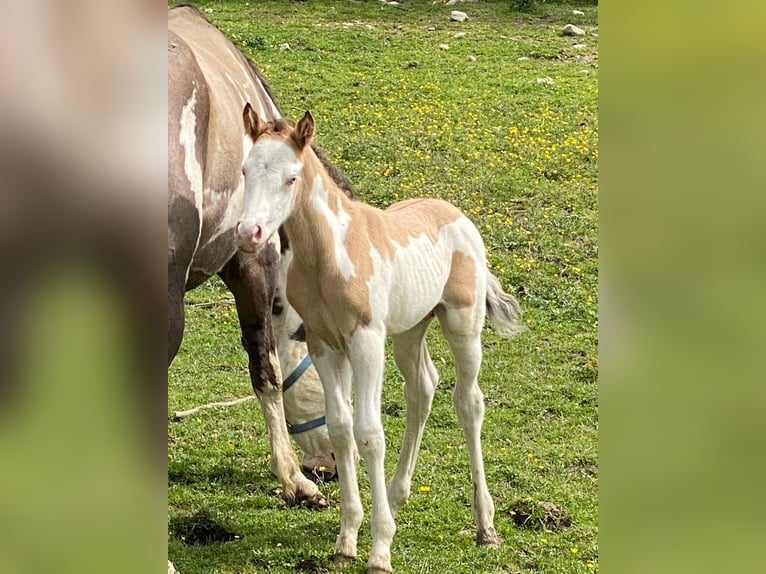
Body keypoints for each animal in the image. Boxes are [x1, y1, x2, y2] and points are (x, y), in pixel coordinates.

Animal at [240, 106, 528, 572]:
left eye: (291, 178)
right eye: (246, 171)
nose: (249, 232)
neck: (329, 255)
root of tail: (457, 215)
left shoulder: (366, 341)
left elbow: (369, 433)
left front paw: (379, 550)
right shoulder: (324, 344)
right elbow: (342, 429)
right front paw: (346, 540)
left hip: (462, 324)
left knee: (469, 402)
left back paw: (485, 527)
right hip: (410, 330)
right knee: (422, 389)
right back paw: (394, 498)